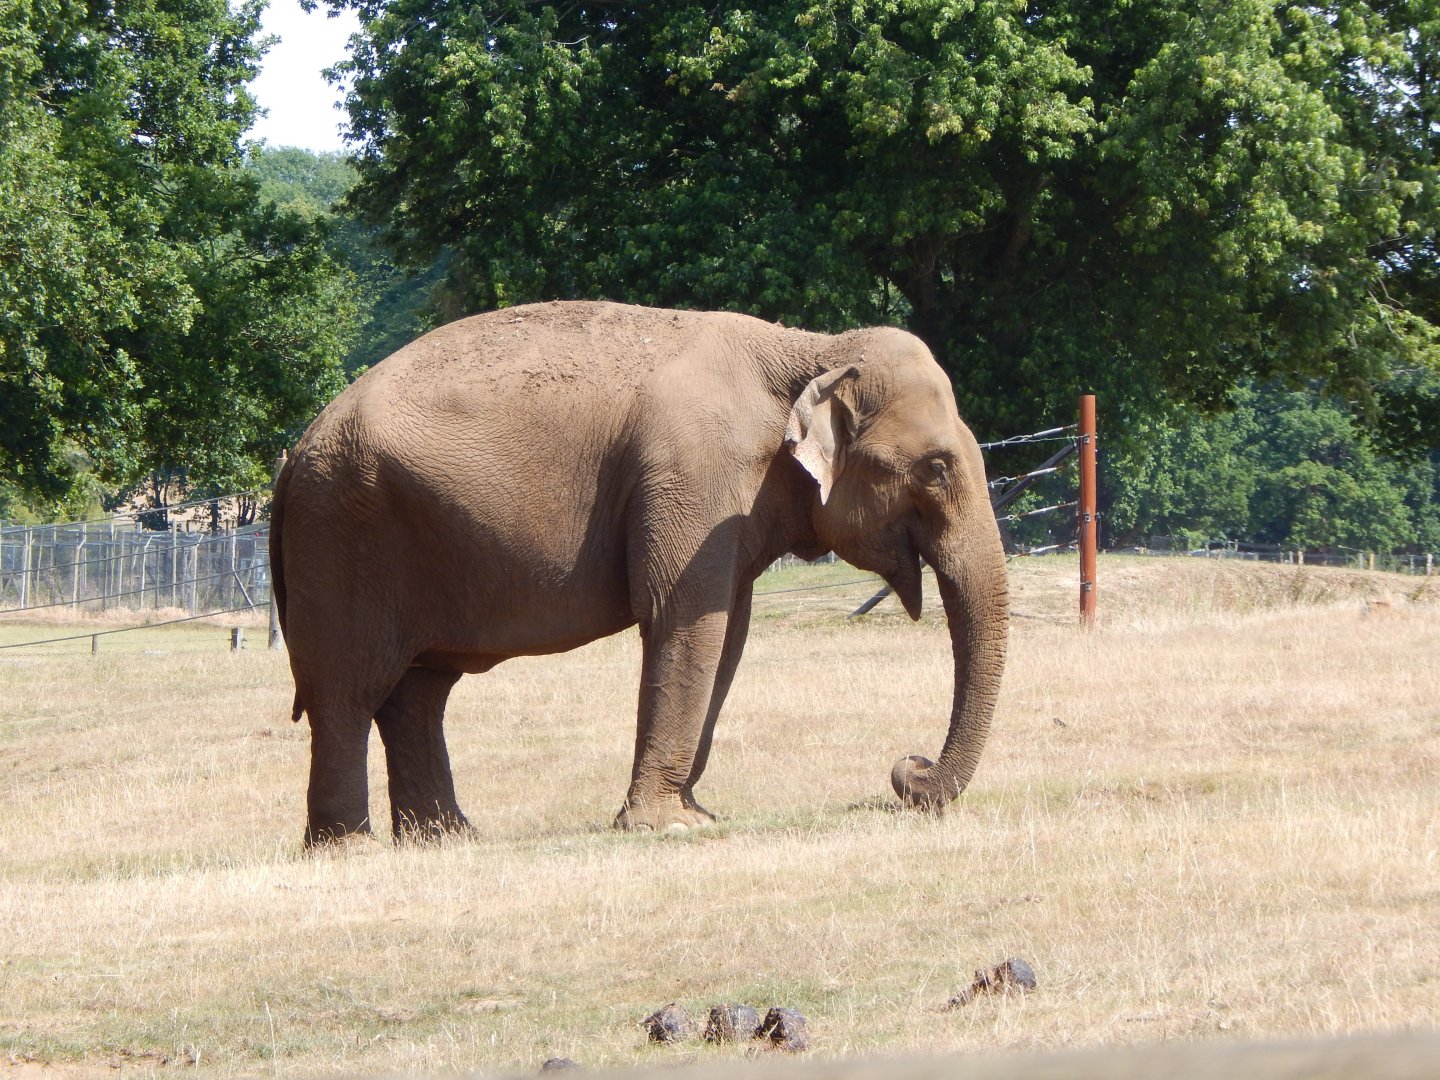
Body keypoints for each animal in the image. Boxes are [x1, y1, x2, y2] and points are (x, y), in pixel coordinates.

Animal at [269, 300, 1008, 843]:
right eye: (937, 467)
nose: (910, 771)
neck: (809, 350)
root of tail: (294, 454)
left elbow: (726, 632)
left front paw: (694, 812)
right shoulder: (692, 478)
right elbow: (683, 620)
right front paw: (668, 826)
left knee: (417, 693)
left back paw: (449, 839)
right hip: (341, 538)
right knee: (349, 693)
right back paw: (350, 847)